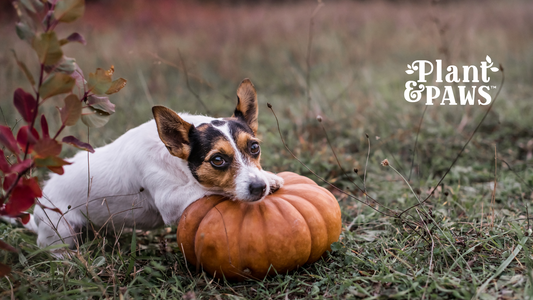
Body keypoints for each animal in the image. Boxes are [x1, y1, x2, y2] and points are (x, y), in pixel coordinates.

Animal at [23, 78, 284, 251]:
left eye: (254, 147)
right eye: (217, 160)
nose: (259, 187)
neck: (178, 165)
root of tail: (39, 206)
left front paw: (270, 176)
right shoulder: (170, 201)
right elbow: (205, 188)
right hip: (61, 230)